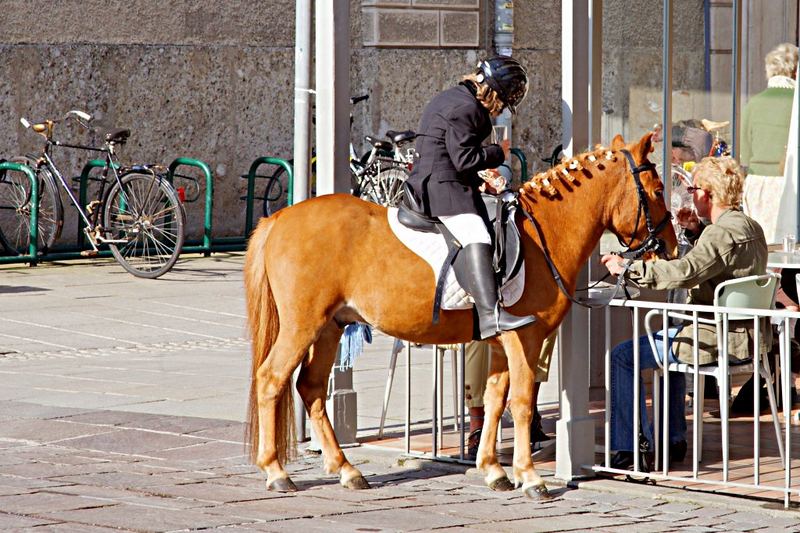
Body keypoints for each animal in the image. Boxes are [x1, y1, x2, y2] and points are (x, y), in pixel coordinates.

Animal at [242, 132, 676, 498]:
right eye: (657, 191)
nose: (672, 246)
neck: (543, 233)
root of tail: (278, 219)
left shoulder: (503, 341)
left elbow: (495, 398)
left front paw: (494, 469)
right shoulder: (526, 338)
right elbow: (522, 401)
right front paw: (530, 477)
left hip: (330, 327)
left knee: (311, 388)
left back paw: (345, 469)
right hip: (302, 326)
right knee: (271, 380)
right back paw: (277, 471)